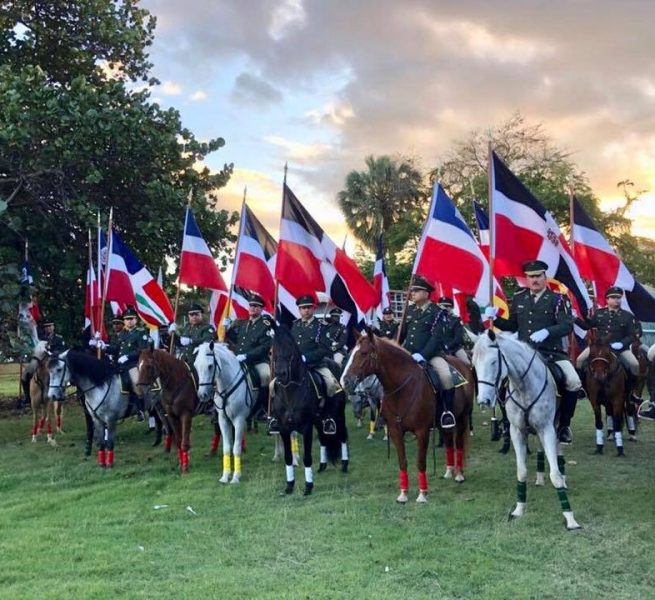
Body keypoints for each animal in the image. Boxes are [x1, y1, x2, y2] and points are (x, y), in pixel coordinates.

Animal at [137, 346, 199, 474]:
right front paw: (181, 464)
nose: (139, 390)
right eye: (138, 365)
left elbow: (184, 441)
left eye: (149, 366)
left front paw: (185, 468)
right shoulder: (171, 416)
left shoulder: (186, 414)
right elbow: (178, 440)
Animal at [192, 342, 256, 482]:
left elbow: (236, 448)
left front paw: (236, 477)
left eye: (210, 366)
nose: (202, 395)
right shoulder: (223, 420)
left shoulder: (239, 420)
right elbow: (226, 448)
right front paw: (225, 476)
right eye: (196, 366)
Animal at [270, 324, 348, 496]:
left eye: (290, 348)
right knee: (324, 439)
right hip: (319, 420)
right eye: (273, 350)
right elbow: (288, 457)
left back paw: (345, 465)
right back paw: (322, 466)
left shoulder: (306, 427)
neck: (291, 391)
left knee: (343, 435)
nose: (280, 374)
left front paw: (308, 486)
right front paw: (289, 485)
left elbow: (306, 458)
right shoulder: (284, 427)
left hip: (339, 415)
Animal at [340, 328, 474, 502]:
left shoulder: (422, 431)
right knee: (449, 441)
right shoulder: (396, 431)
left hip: (462, 417)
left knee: (459, 443)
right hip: (443, 422)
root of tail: (462, 364)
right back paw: (449, 471)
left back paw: (458, 474)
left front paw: (422, 494)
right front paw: (403, 494)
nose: (345, 381)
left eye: (363, 353)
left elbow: (420, 462)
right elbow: (402, 461)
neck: (402, 388)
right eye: (351, 353)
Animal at [472, 330, 584, 532]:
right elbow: (521, 471)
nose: (484, 401)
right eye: (474, 363)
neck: (523, 386)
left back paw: (563, 479)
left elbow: (555, 474)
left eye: (493, 362)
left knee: (559, 451)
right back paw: (539, 478)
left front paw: (570, 519)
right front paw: (519, 509)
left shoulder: (547, 429)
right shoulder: (517, 432)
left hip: (556, 426)